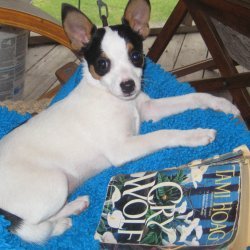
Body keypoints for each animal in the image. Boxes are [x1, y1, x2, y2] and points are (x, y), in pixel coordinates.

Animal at [0, 0, 239, 243]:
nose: (128, 86)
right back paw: (64, 220)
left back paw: (74, 205)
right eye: (102, 63)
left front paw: (221, 103)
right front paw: (196, 134)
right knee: (31, 225)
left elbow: (192, 97)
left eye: (136, 56)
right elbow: (163, 133)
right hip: (54, 184)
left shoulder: (148, 108)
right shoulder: (122, 148)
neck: (114, 99)